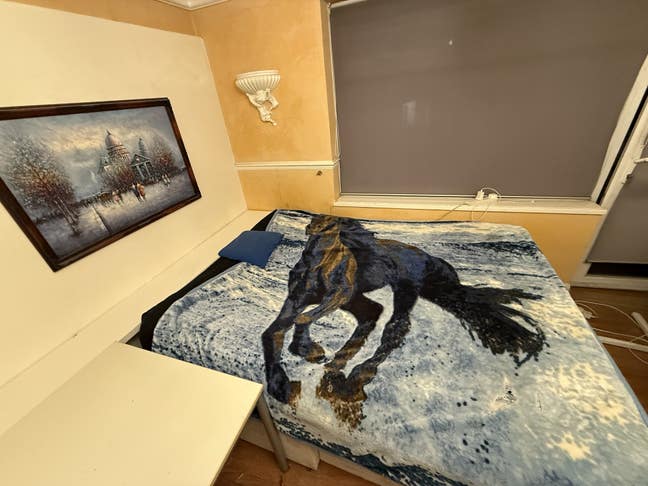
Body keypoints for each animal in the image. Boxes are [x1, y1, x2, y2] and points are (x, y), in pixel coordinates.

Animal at [262, 214, 545, 427]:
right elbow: (272, 332)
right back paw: (337, 370)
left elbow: (302, 319)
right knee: (373, 314)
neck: (318, 263)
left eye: (334, 225)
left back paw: (354, 380)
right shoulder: (297, 299)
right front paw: (280, 384)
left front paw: (308, 350)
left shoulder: (339, 294)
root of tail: (430, 258)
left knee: (395, 327)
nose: (311, 228)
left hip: (403, 289)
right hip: (364, 298)